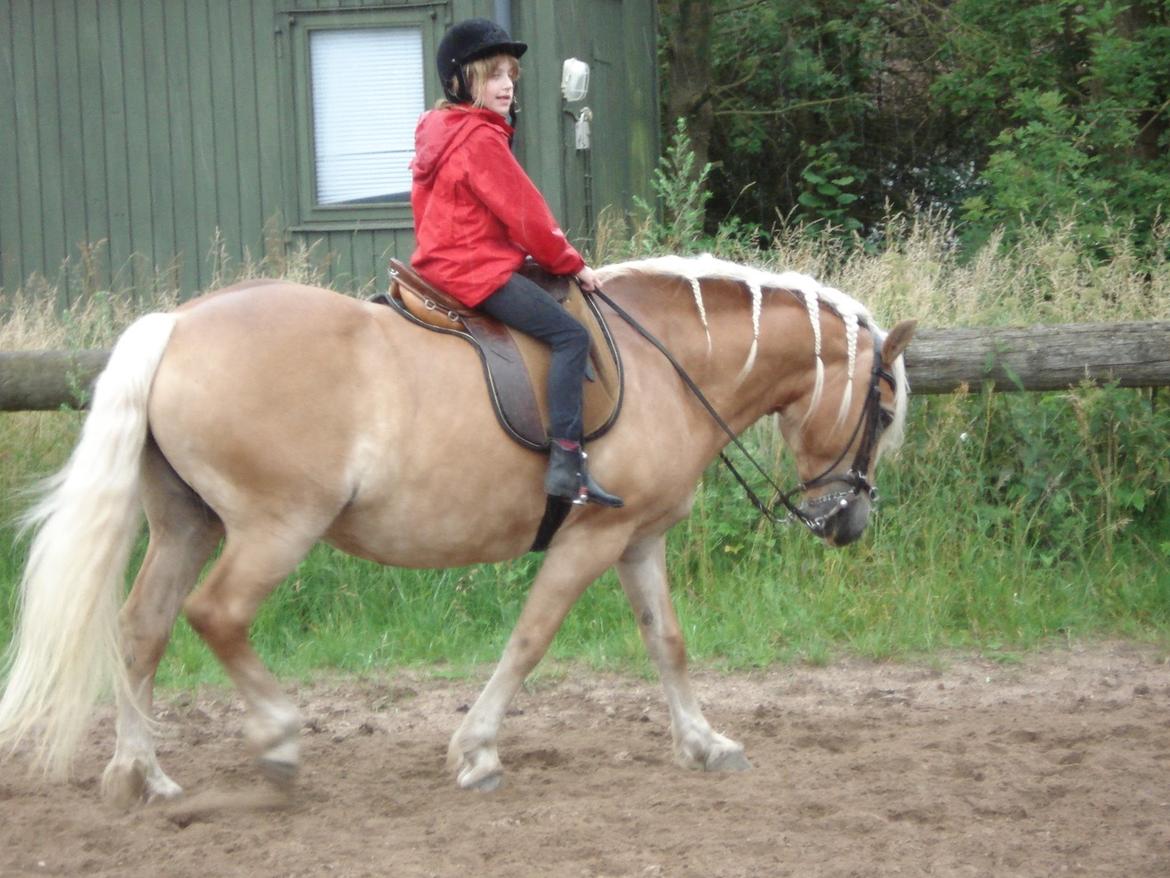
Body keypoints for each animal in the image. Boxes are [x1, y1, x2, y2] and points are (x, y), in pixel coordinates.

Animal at [0, 252, 912, 805]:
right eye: (884, 409)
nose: (849, 520)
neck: (668, 366)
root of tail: (180, 324)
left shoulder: (639, 541)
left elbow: (668, 643)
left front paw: (705, 742)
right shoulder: (590, 540)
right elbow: (531, 638)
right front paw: (475, 751)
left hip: (186, 524)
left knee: (141, 629)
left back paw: (142, 772)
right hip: (274, 527)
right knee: (215, 615)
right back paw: (278, 740)